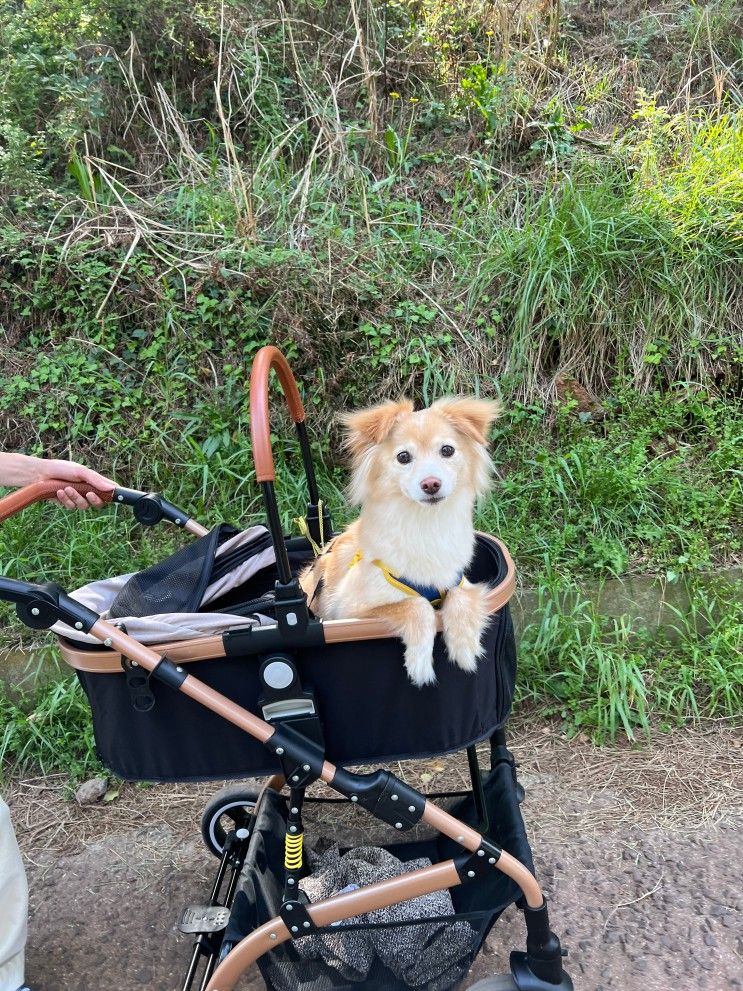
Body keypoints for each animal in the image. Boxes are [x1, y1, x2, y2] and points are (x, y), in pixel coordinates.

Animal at [300, 400, 502, 684]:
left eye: (447, 450)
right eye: (403, 457)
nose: (431, 483)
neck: (424, 525)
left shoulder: (462, 583)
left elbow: (460, 597)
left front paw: (465, 648)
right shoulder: (348, 611)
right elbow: (417, 605)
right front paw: (420, 665)